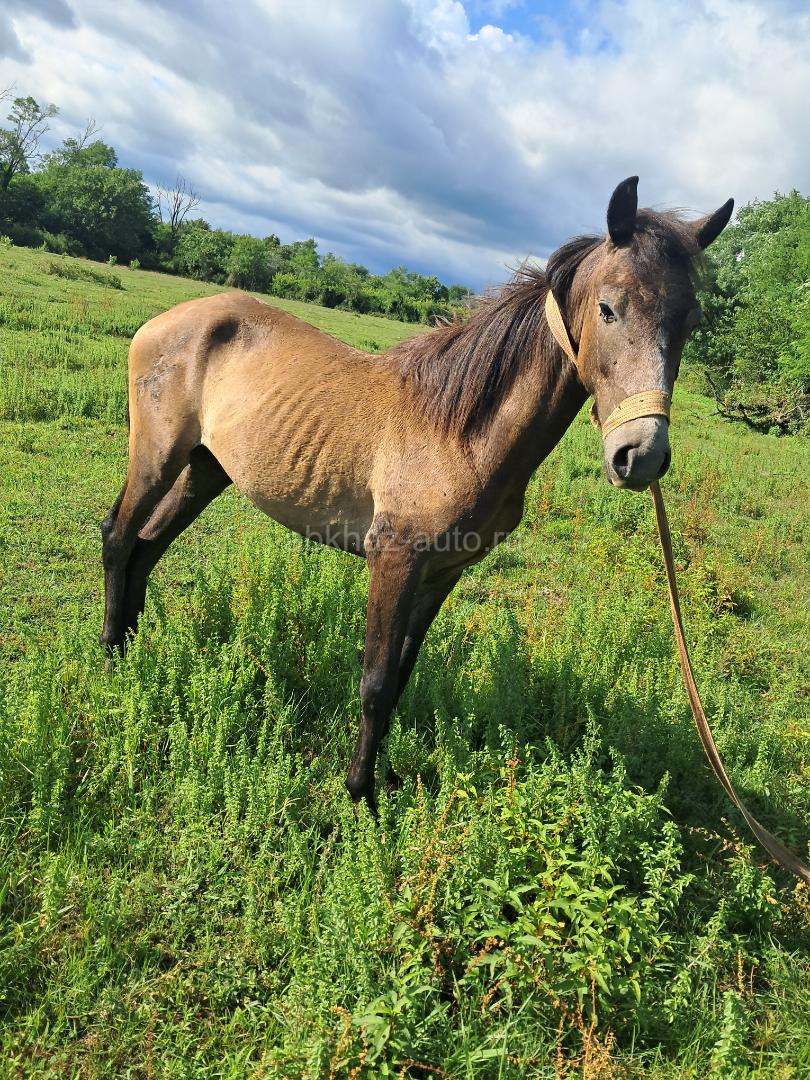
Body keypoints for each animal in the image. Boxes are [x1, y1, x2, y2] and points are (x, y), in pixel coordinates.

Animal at [100, 177, 733, 811]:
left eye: (689, 322)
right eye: (608, 307)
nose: (641, 455)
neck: (462, 432)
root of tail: (174, 317)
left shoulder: (442, 573)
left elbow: (401, 676)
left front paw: (382, 780)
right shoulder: (394, 559)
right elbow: (376, 681)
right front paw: (361, 797)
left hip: (207, 469)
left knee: (149, 546)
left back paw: (132, 650)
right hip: (157, 454)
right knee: (119, 537)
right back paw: (109, 659)